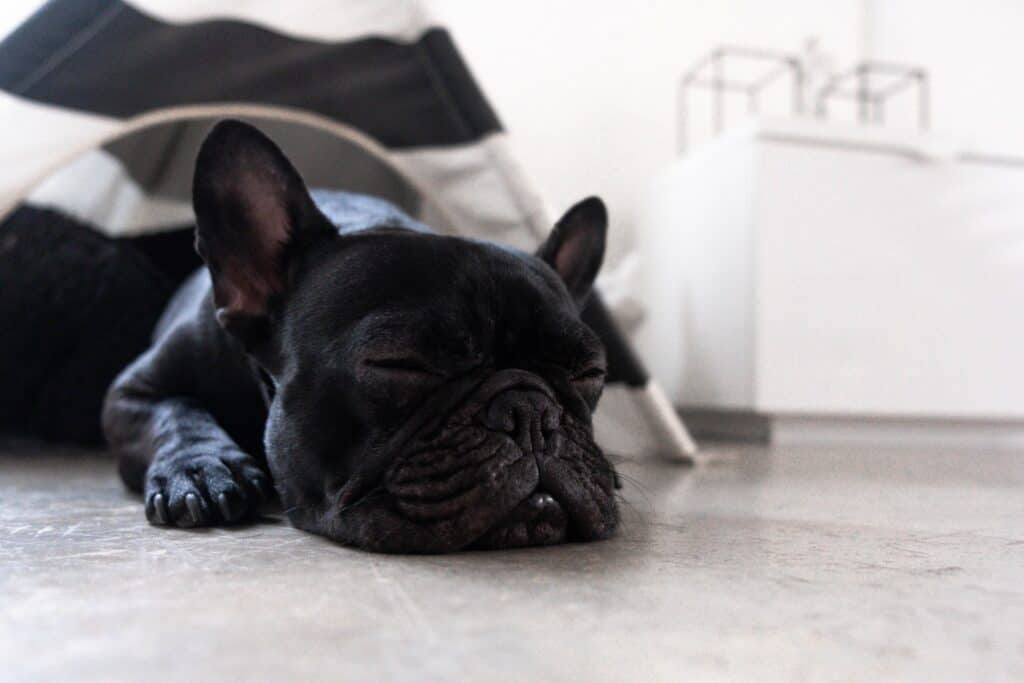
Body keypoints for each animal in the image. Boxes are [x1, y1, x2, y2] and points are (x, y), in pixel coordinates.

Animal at [99, 120, 618, 552]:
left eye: (591, 372)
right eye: (399, 363)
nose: (532, 412)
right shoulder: (130, 392)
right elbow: (175, 413)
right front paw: (201, 468)